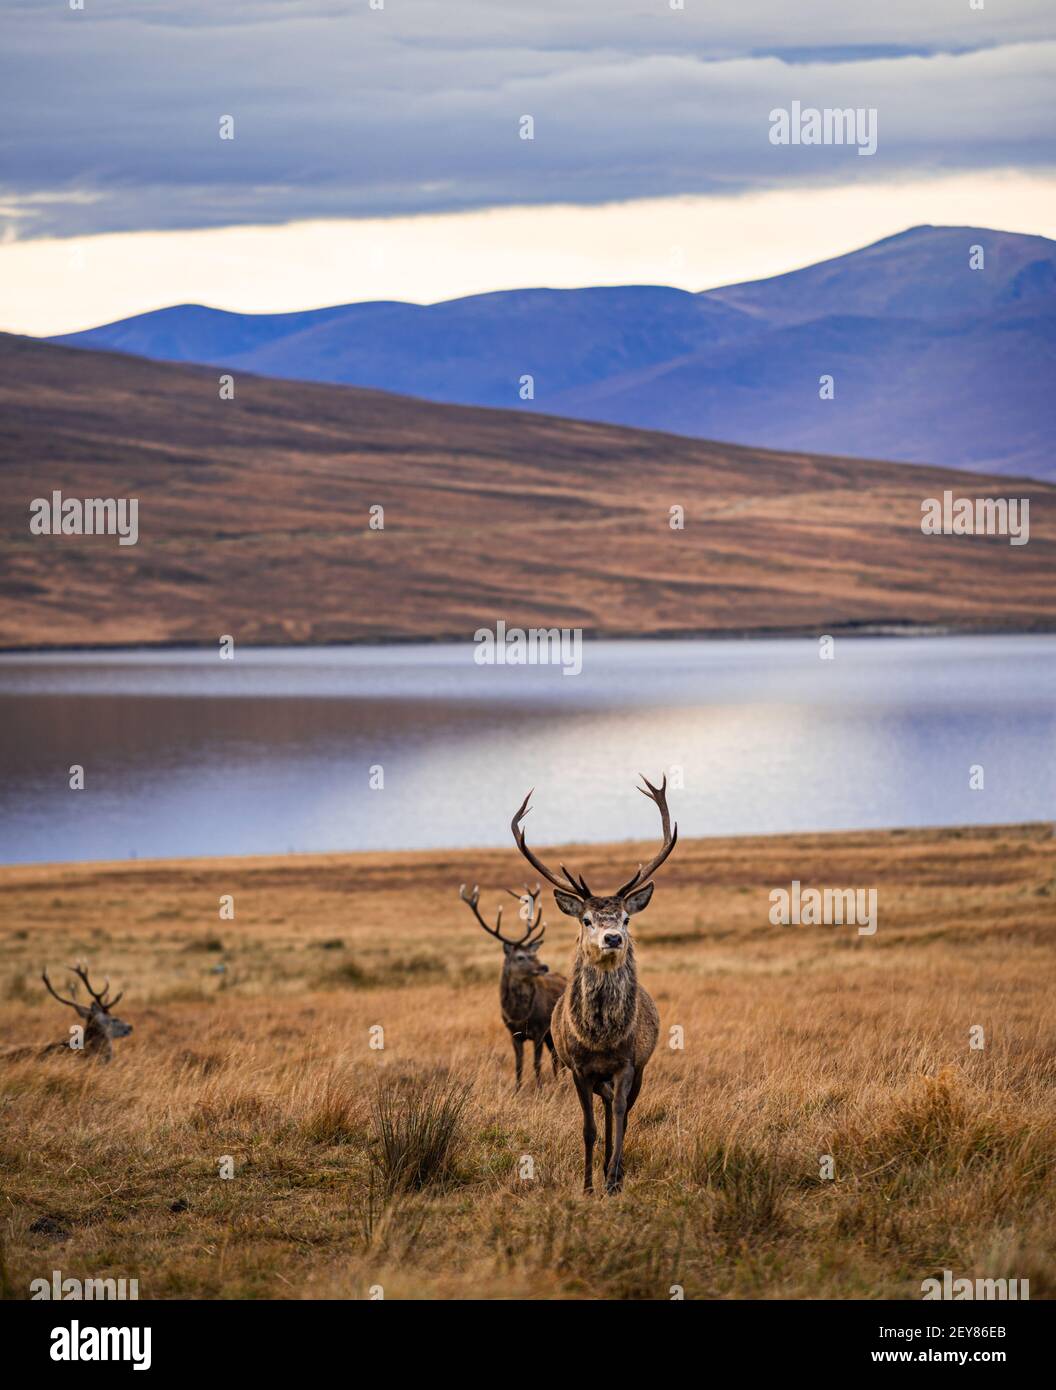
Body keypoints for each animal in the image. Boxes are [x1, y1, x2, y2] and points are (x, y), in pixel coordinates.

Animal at [458, 884, 564, 1089]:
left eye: (534, 954)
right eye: (520, 957)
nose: (544, 967)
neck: (519, 1015)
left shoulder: (540, 1030)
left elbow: (536, 1062)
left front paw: (539, 1087)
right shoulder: (513, 1033)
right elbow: (519, 1063)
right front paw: (518, 1088)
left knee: (558, 1058)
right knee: (556, 1058)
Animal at [511, 778, 675, 1189]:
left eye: (626, 919)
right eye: (586, 919)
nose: (612, 938)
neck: (600, 1038)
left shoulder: (628, 1063)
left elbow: (619, 1116)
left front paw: (613, 1178)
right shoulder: (578, 1068)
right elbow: (588, 1128)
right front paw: (587, 1184)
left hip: (640, 1069)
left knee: (620, 1112)